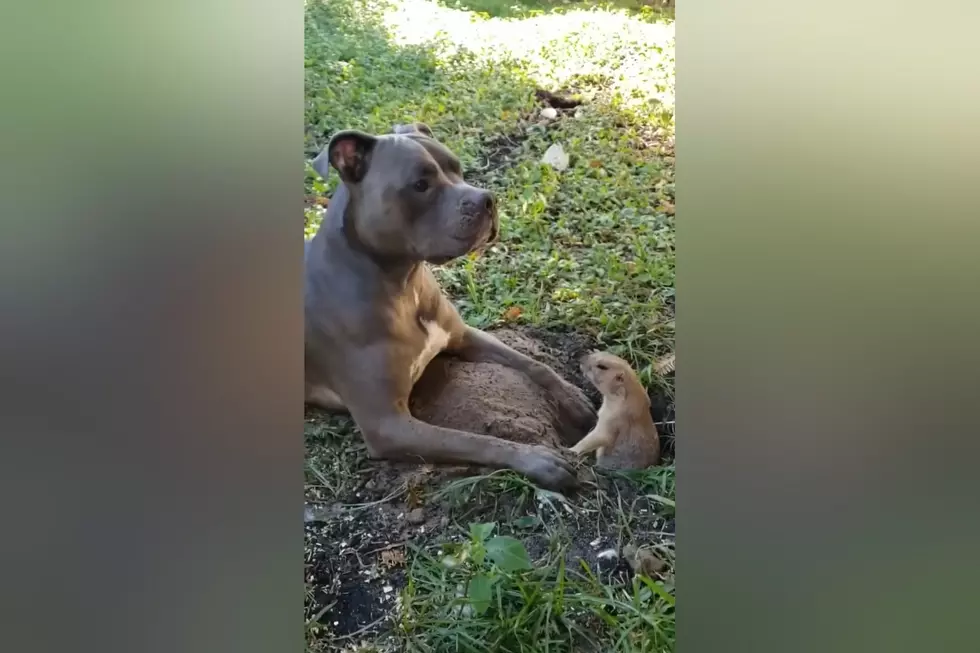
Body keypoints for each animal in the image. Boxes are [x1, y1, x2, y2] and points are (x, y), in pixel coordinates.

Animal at [306, 122, 596, 488]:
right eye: (420, 184)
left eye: (457, 168)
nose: (488, 199)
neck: (404, 285)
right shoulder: (389, 425)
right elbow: (473, 439)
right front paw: (537, 459)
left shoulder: (463, 335)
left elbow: (533, 364)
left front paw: (572, 397)